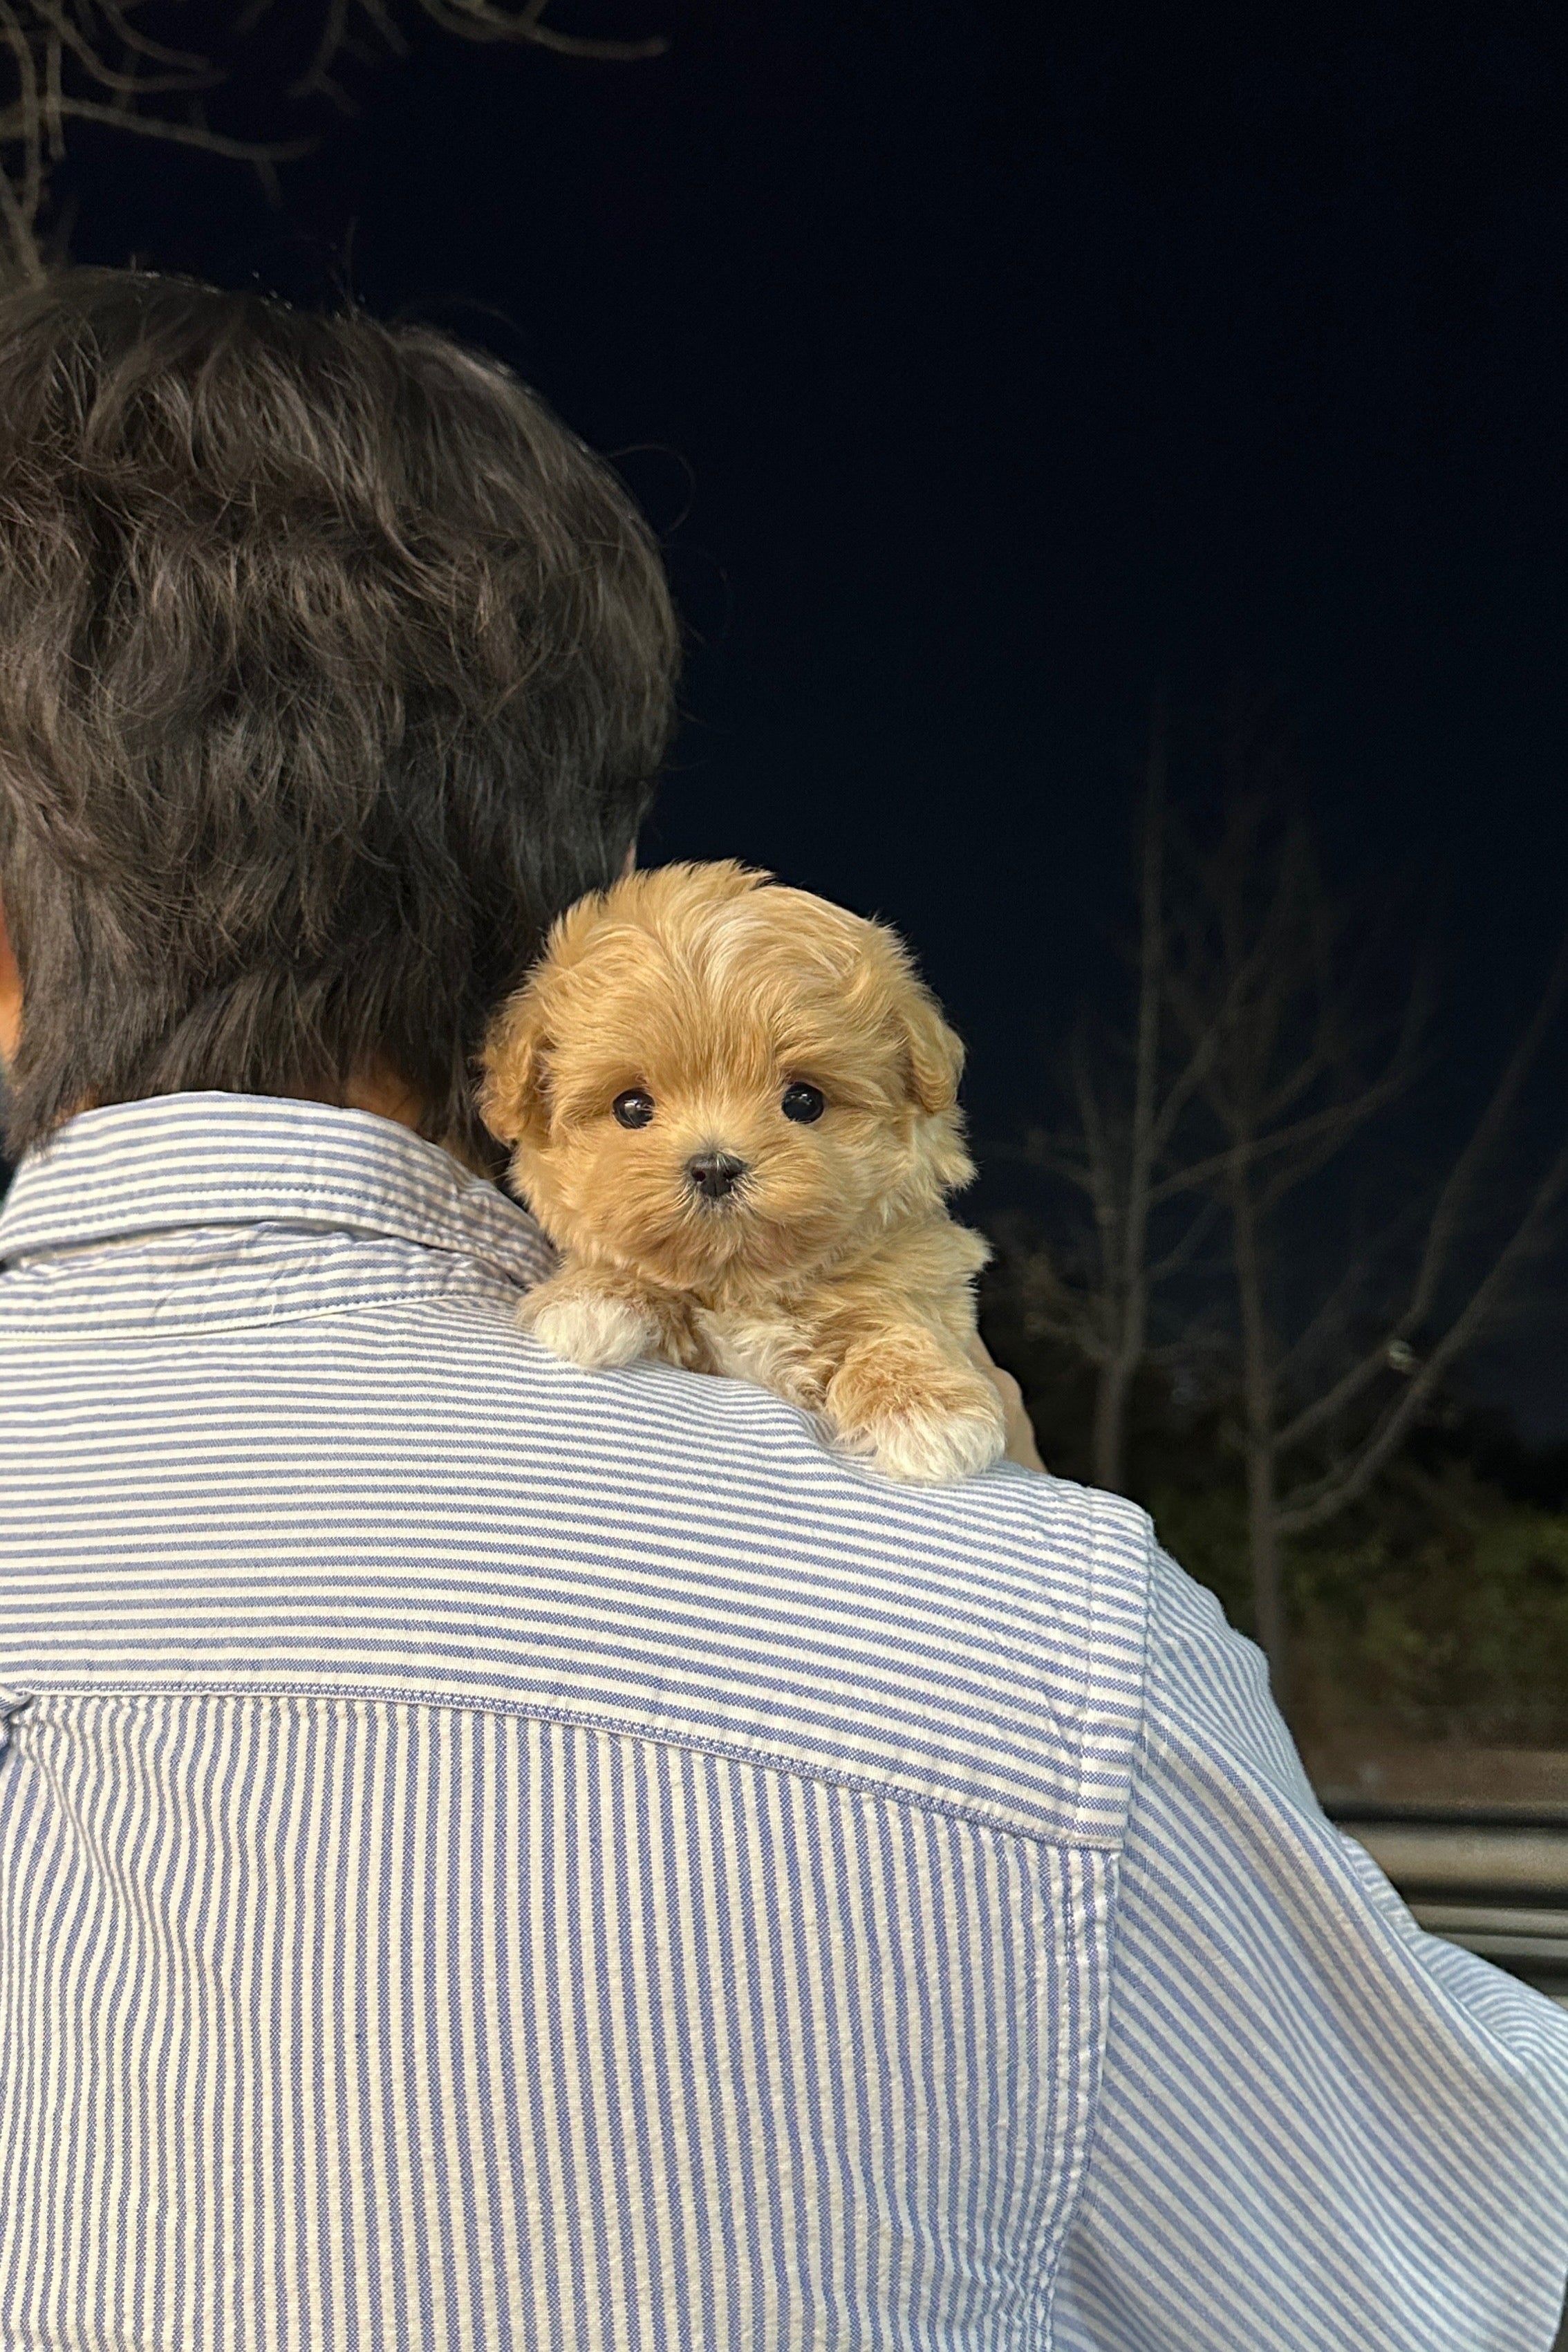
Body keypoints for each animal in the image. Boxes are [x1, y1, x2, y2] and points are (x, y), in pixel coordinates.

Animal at [474, 865, 1006, 1477]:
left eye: (804, 1101)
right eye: (632, 1108)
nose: (714, 1167)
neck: (742, 1288)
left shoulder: (917, 1275)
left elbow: (898, 1319)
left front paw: (927, 1410)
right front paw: (590, 1299)